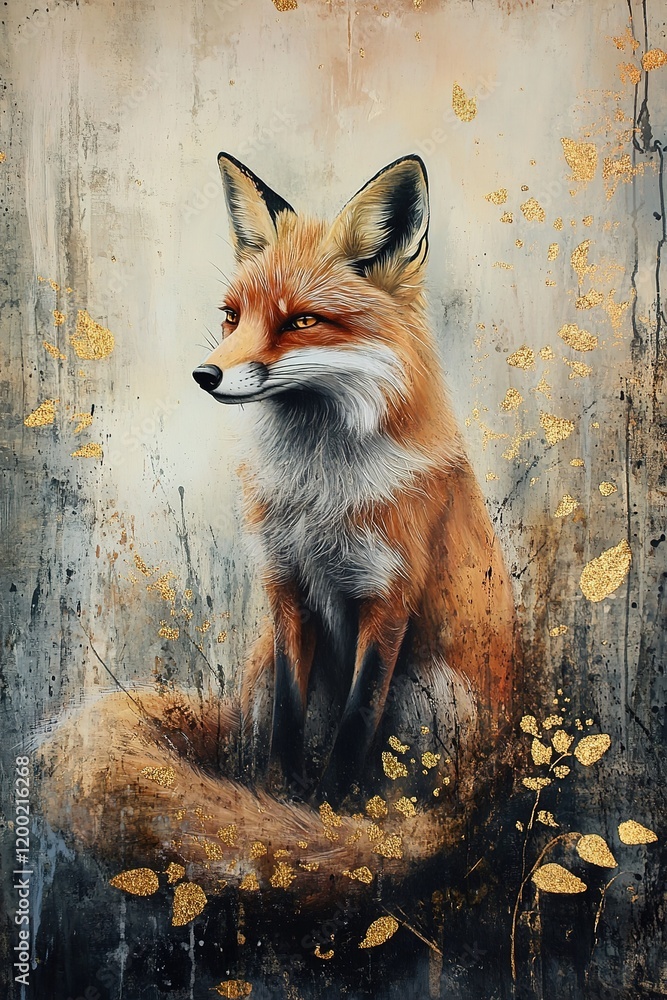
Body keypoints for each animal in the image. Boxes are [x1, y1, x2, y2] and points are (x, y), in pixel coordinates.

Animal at [37, 154, 518, 905]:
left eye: (302, 322)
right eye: (232, 316)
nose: (204, 374)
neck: (319, 493)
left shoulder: (388, 599)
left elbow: (354, 728)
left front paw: (327, 818)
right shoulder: (286, 588)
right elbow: (289, 730)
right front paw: (277, 804)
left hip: (436, 691)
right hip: (263, 667)